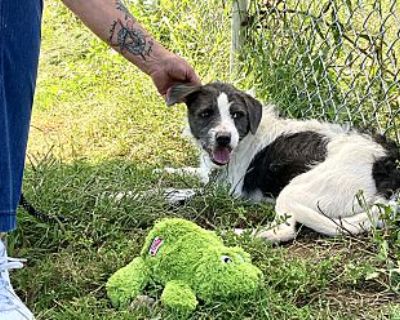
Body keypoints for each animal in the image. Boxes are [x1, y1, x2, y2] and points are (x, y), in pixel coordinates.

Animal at [164, 81, 398, 241]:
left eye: (237, 115)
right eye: (206, 113)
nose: (224, 138)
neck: (245, 138)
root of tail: (386, 163)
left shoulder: (229, 192)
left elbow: (187, 193)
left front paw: (162, 193)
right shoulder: (207, 174)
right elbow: (186, 171)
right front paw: (164, 172)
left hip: (296, 190)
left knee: (283, 231)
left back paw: (230, 233)